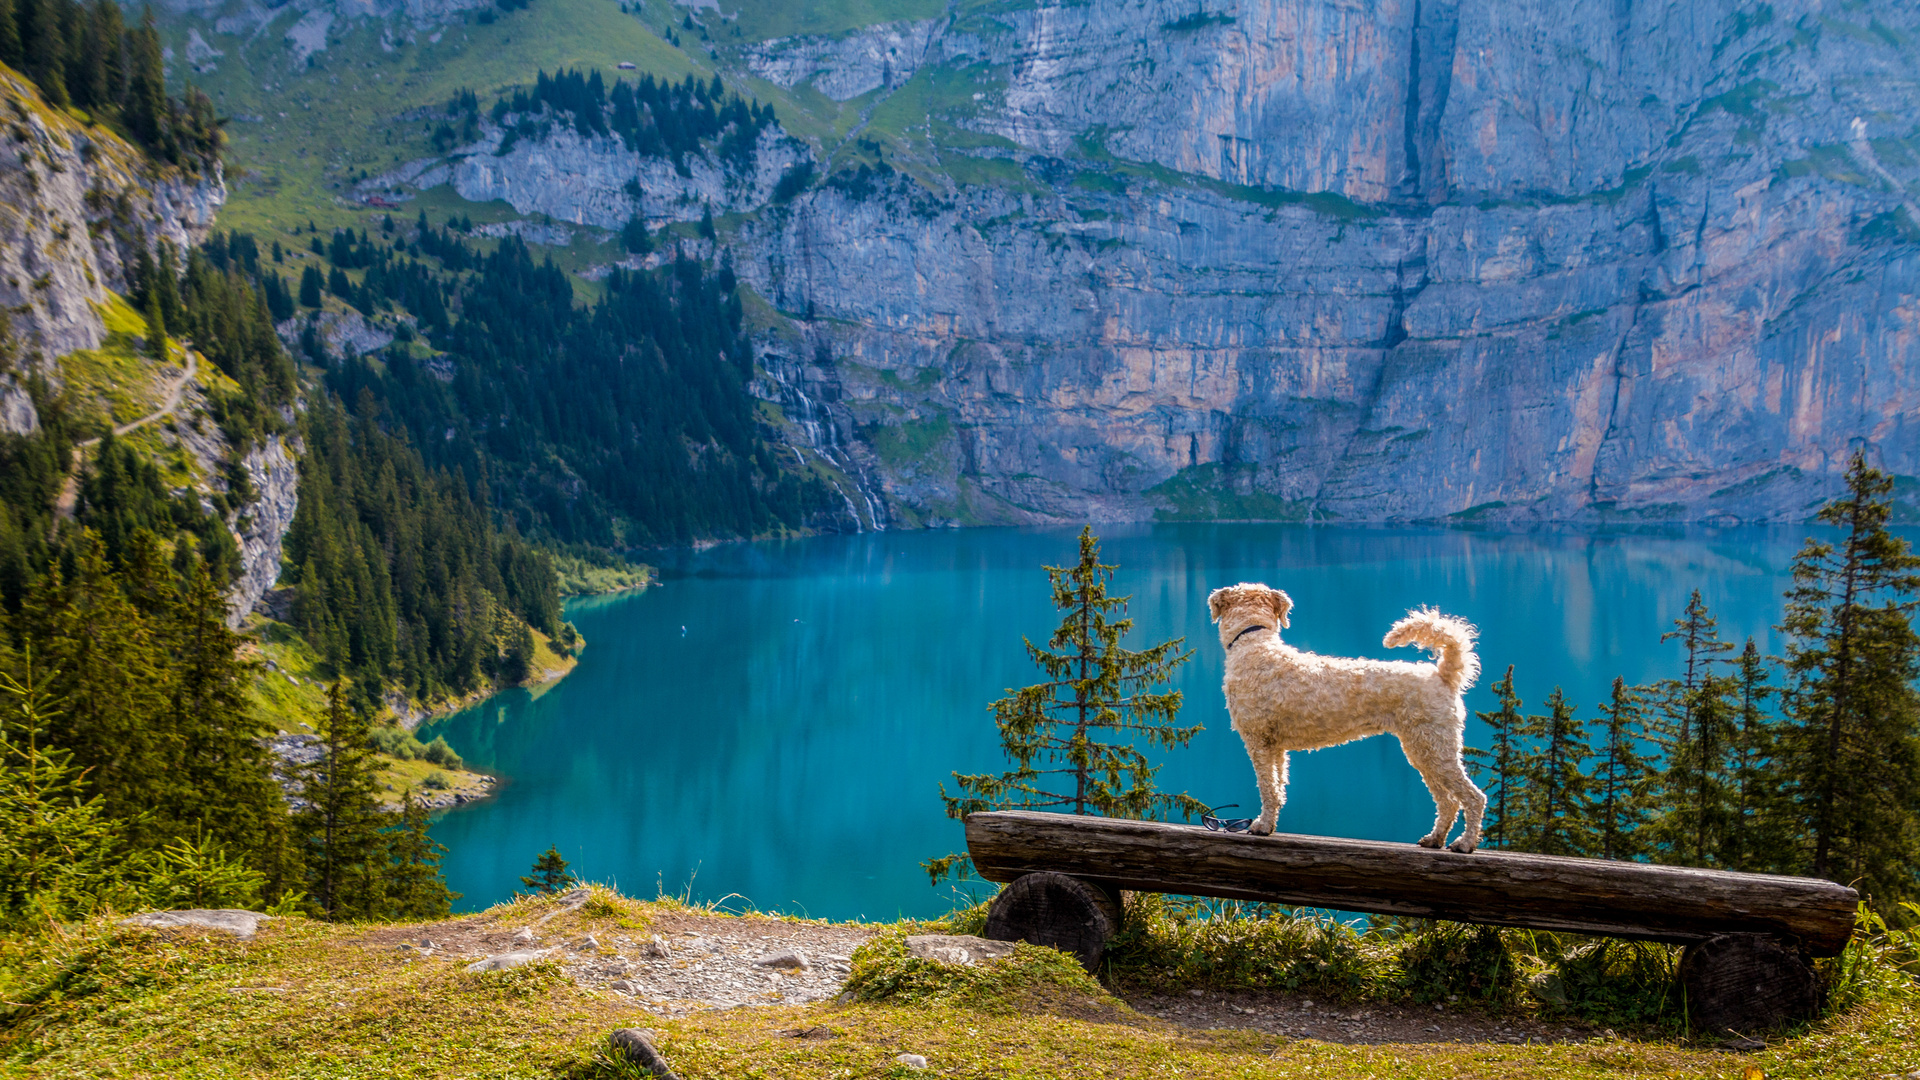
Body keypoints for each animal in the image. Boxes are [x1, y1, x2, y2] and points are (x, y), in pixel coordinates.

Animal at [1205, 580, 1489, 849]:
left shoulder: (1258, 740)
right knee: (1448, 801)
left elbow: (1267, 788)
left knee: (1474, 797)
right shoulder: (1275, 746)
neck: (1254, 644)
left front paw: (1262, 826)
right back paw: (1435, 838)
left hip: (1435, 748)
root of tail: (1443, 675)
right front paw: (1270, 823)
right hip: (1423, 750)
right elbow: (1278, 788)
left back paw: (1465, 843)